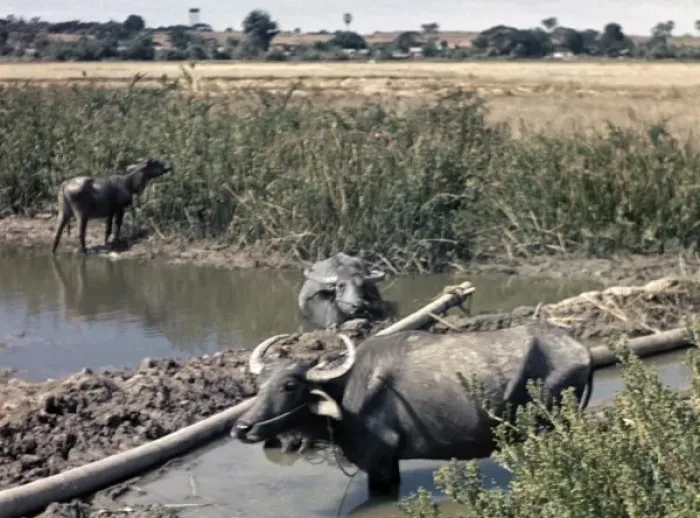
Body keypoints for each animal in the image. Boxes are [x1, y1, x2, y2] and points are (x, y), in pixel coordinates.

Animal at [233, 322, 594, 497]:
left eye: (289, 385)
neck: (346, 393)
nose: (241, 428)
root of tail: (582, 350)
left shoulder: (379, 462)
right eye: (259, 384)